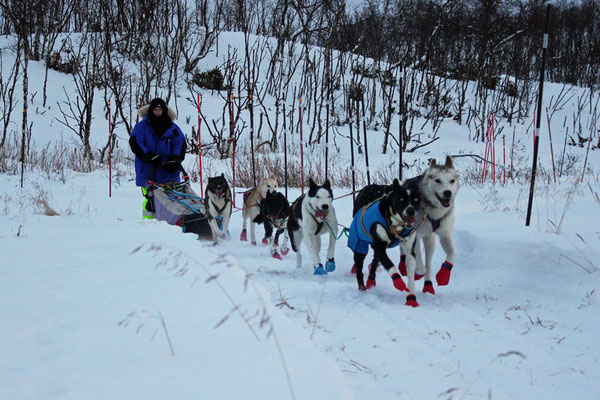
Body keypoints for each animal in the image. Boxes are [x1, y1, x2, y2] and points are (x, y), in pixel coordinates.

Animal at [346, 178, 422, 306]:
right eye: (401, 200)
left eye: (416, 200)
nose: (411, 211)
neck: (395, 224)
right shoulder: (379, 247)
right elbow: (391, 265)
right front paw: (399, 282)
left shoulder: (409, 249)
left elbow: (411, 275)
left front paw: (411, 297)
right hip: (360, 247)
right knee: (359, 268)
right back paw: (362, 287)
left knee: (375, 261)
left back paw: (371, 280)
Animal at [406, 155, 462, 294]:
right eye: (438, 180)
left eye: (452, 180)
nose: (447, 192)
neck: (434, 210)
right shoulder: (416, 234)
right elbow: (419, 262)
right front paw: (418, 272)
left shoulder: (445, 234)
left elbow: (452, 255)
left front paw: (443, 275)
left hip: (430, 241)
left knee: (429, 262)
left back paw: (428, 285)